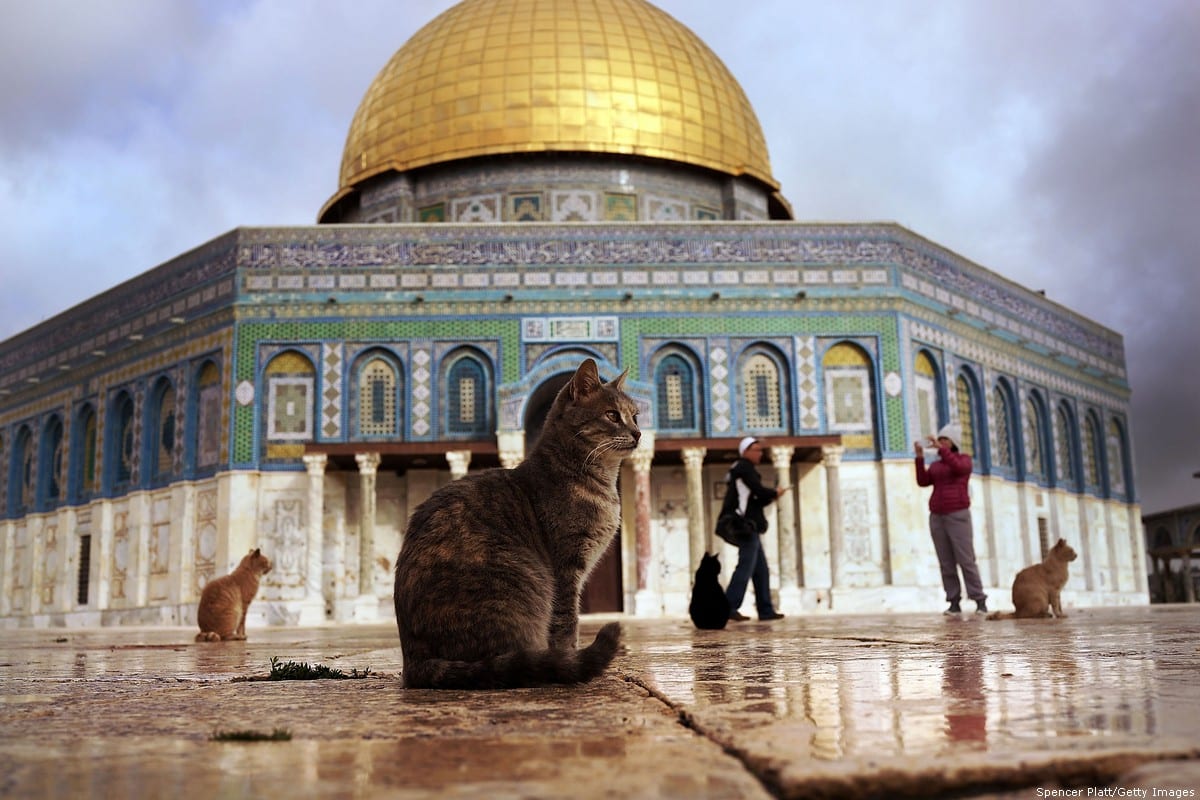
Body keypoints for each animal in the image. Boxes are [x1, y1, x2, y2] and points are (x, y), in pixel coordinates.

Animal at [391, 359, 638, 690]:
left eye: (635, 415)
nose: (639, 433)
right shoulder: (565, 568)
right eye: (612, 415)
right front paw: (569, 660)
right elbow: (566, 623)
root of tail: (414, 662)